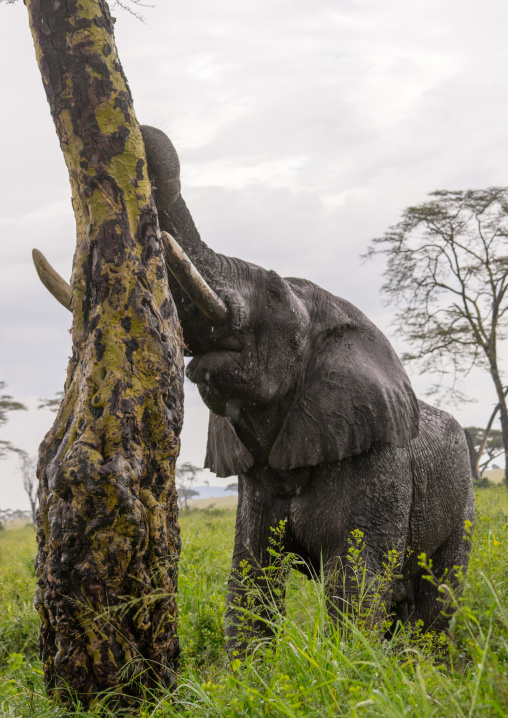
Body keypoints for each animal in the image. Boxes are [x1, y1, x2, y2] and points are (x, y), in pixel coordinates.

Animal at [34, 125, 474, 650]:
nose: (144, 131)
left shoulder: (378, 464)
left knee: (439, 594)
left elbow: (358, 580)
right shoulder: (254, 481)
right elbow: (250, 575)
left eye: (275, 294)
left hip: (464, 493)